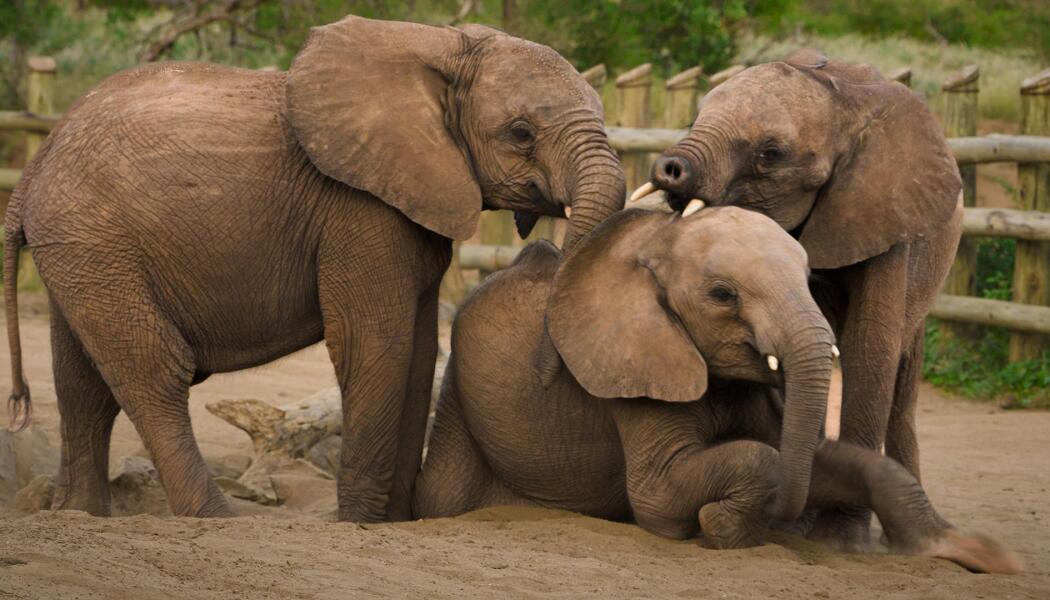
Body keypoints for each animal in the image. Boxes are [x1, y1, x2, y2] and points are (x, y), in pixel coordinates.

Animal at [2, 16, 625, 521]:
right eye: (521, 133)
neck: (441, 46)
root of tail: (33, 169)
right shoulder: (359, 208)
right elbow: (375, 344)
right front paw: (357, 524)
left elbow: (419, 352)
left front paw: (393, 523)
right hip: (94, 239)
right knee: (153, 370)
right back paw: (218, 517)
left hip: (81, 248)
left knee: (82, 381)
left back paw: (80, 515)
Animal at [413, 207, 1021, 575]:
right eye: (723, 294)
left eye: (810, 279)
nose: (783, 515)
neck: (660, 239)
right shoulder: (633, 366)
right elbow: (665, 495)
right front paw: (723, 526)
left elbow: (826, 461)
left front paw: (985, 557)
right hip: (460, 402)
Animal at [630, 50, 963, 545]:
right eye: (695, 118)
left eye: (771, 154)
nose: (669, 168)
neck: (841, 100)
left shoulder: (886, 212)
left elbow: (869, 346)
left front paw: (838, 540)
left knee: (902, 386)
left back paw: (919, 536)